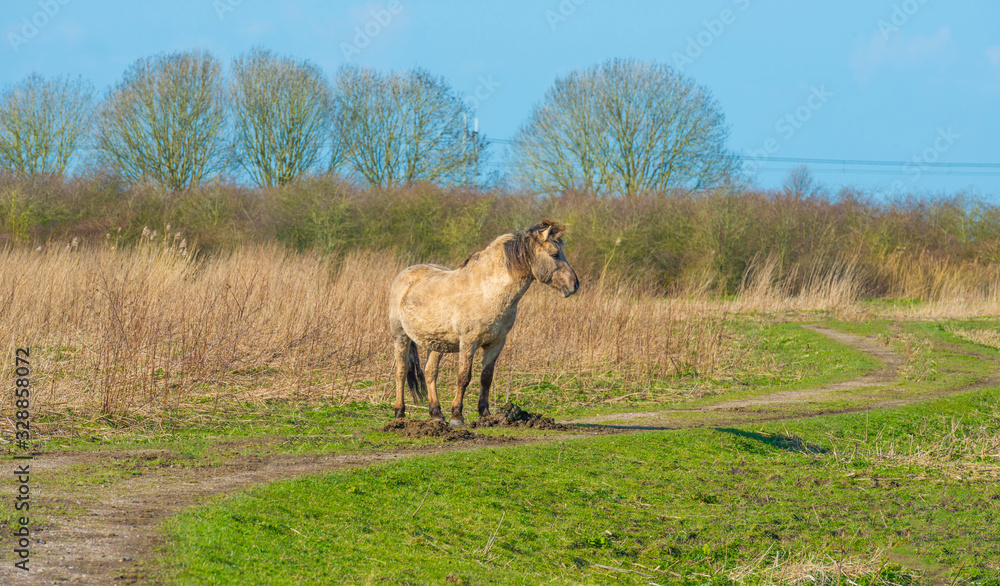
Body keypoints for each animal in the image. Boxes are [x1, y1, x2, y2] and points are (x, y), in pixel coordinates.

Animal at [388, 219, 580, 426]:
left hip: (437, 343)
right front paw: (457, 416)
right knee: (401, 371)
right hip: (400, 336)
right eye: (554, 254)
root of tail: (404, 275)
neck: (488, 292)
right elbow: (464, 377)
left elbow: (486, 377)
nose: (574, 285)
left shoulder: (496, 343)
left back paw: (437, 414)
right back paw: (400, 413)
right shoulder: (468, 342)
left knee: (430, 372)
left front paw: (485, 414)